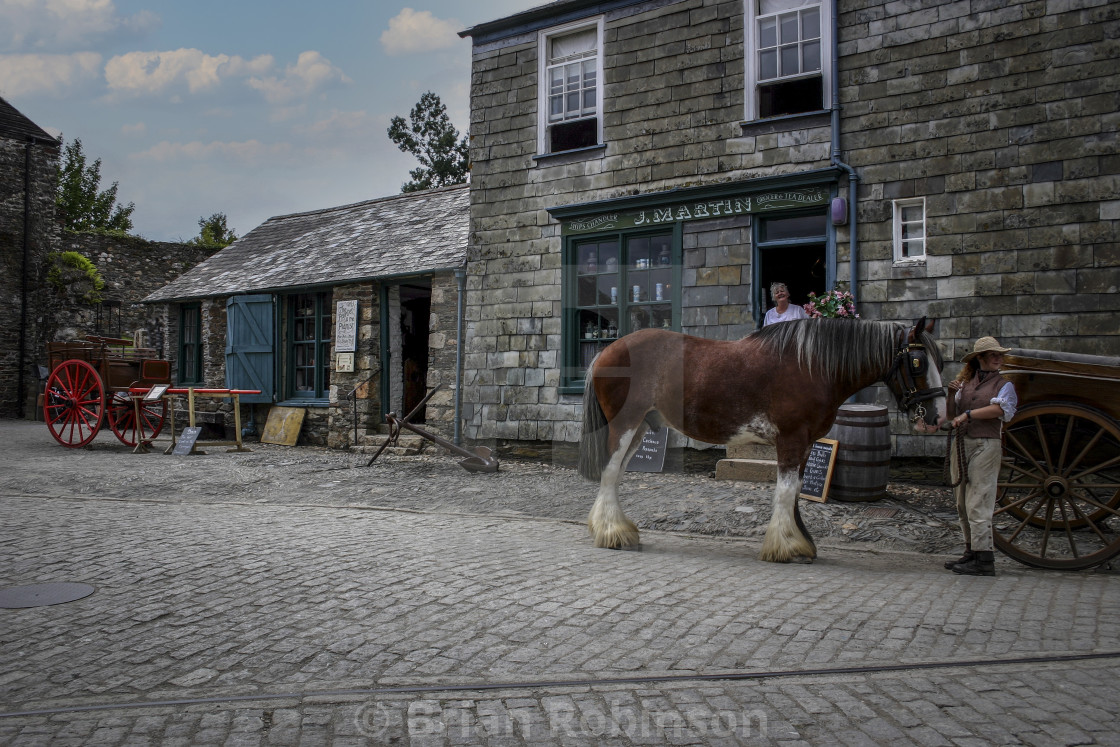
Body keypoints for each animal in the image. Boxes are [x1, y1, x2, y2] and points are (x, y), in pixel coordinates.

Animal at [577, 313, 945, 559]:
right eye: (917, 361)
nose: (937, 416)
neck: (811, 365)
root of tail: (606, 352)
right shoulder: (791, 440)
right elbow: (784, 492)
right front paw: (784, 546)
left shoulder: (806, 444)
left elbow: (795, 491)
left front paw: (802, 542)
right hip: (625, 426)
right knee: (610, 473)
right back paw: (612, 533)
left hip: (639, 428)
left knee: (615, 475)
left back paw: (616, 529)